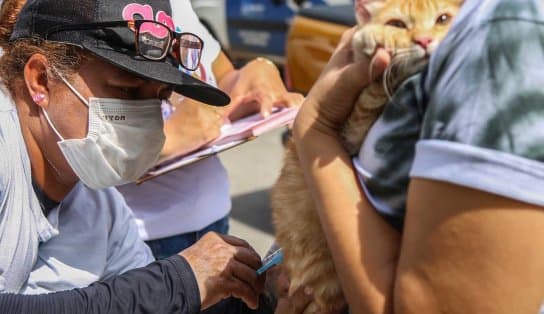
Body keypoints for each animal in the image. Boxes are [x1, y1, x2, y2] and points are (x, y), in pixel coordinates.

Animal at [270, 0, 462, 312]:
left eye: (443, 19)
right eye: (397, 24)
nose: (424, 41)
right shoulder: (351, 129)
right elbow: (371, 93)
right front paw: (375, 42)